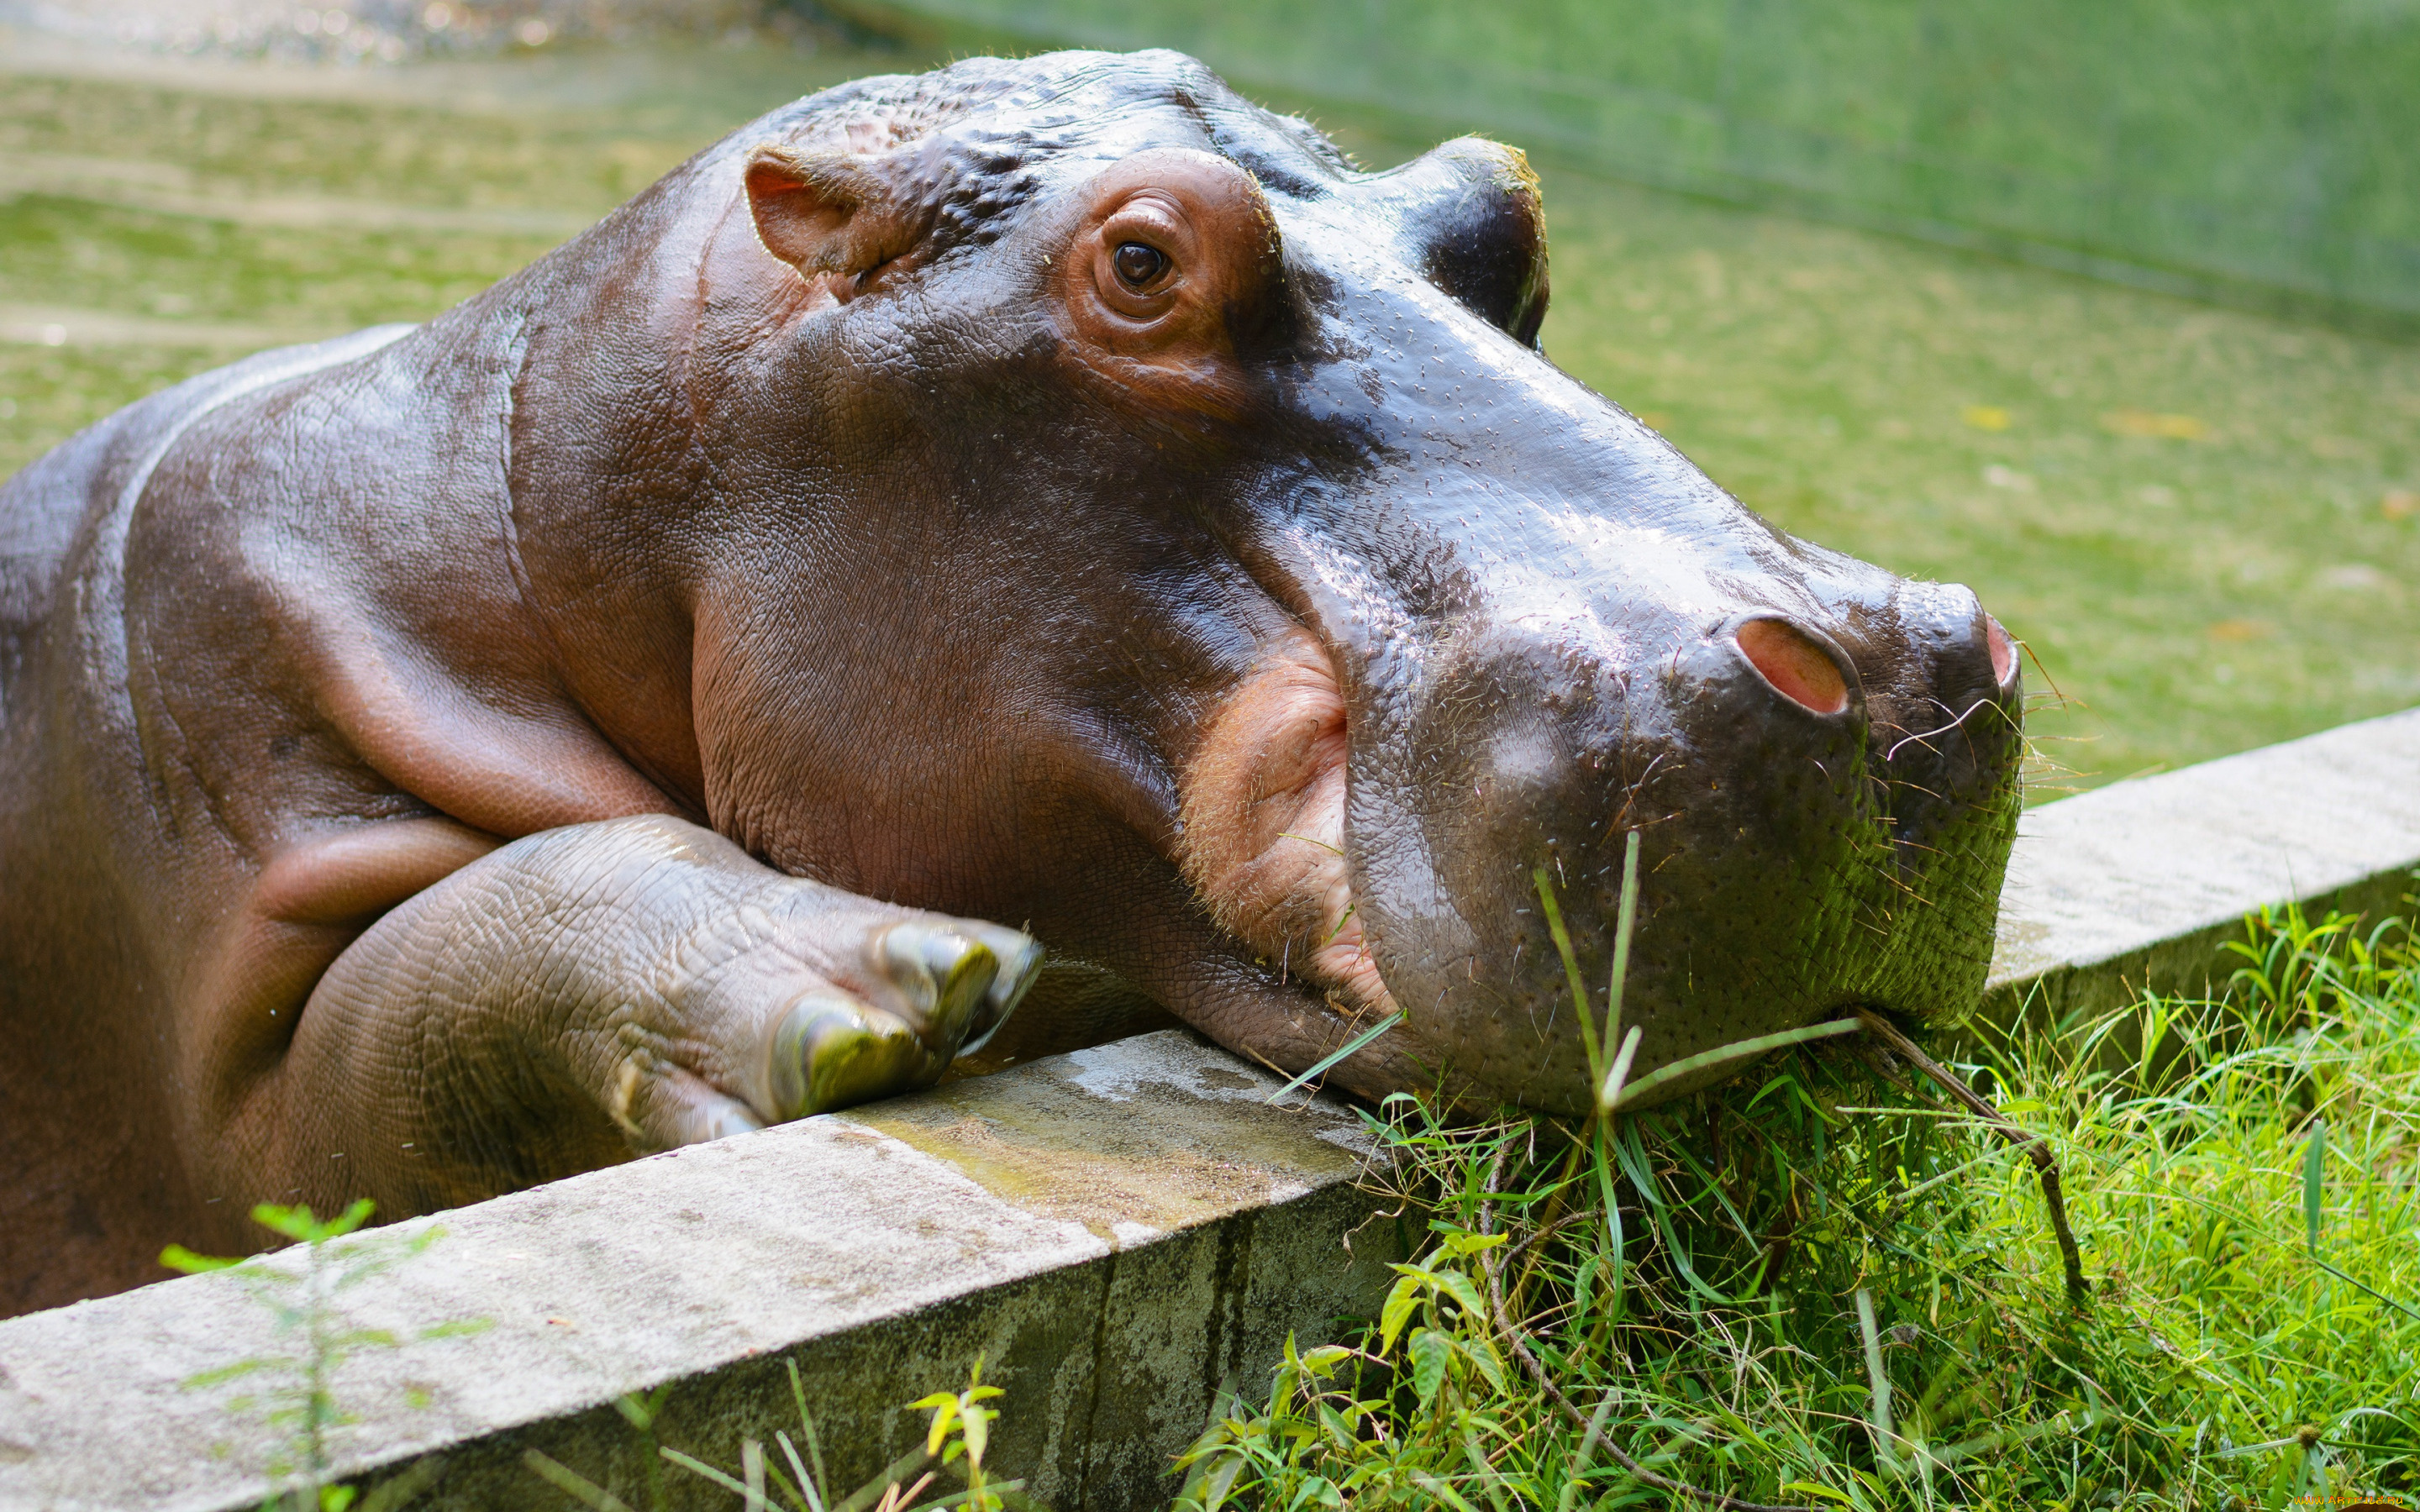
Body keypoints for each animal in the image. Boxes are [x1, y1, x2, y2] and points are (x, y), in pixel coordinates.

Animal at [0, 50, 2021, 1316]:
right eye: (1139, 260)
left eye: (1501, 212)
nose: (1889, 676)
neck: (543, 506)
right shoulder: (238, 888)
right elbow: (414, 1001)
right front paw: (873, 987)